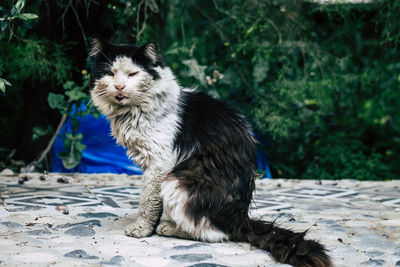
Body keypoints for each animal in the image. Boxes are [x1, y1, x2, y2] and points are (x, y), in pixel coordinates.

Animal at [90, 39, 332, 267]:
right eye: (110, 73)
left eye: (133, 74)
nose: (119, 87)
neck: (131, 113)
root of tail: (240, 219)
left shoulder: (159, 165)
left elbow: (148, 203)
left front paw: (142, 228)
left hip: (178, 183)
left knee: (212, 233)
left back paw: (168, 228)